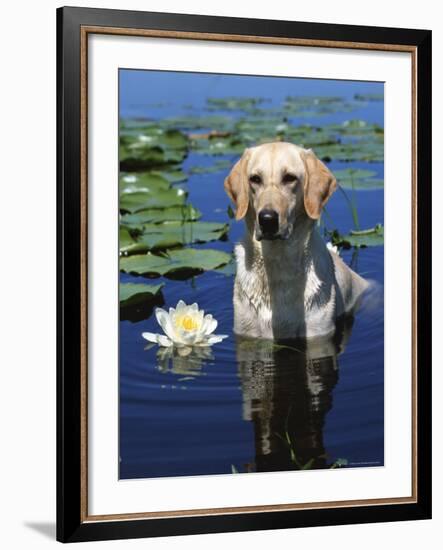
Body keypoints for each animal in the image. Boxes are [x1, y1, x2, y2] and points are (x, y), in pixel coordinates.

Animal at [224, 142, 370, 340]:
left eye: (290, 178)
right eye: (255, 179)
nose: (267, 219)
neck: (277, 262)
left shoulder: (318, 332)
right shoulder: (246, 330)